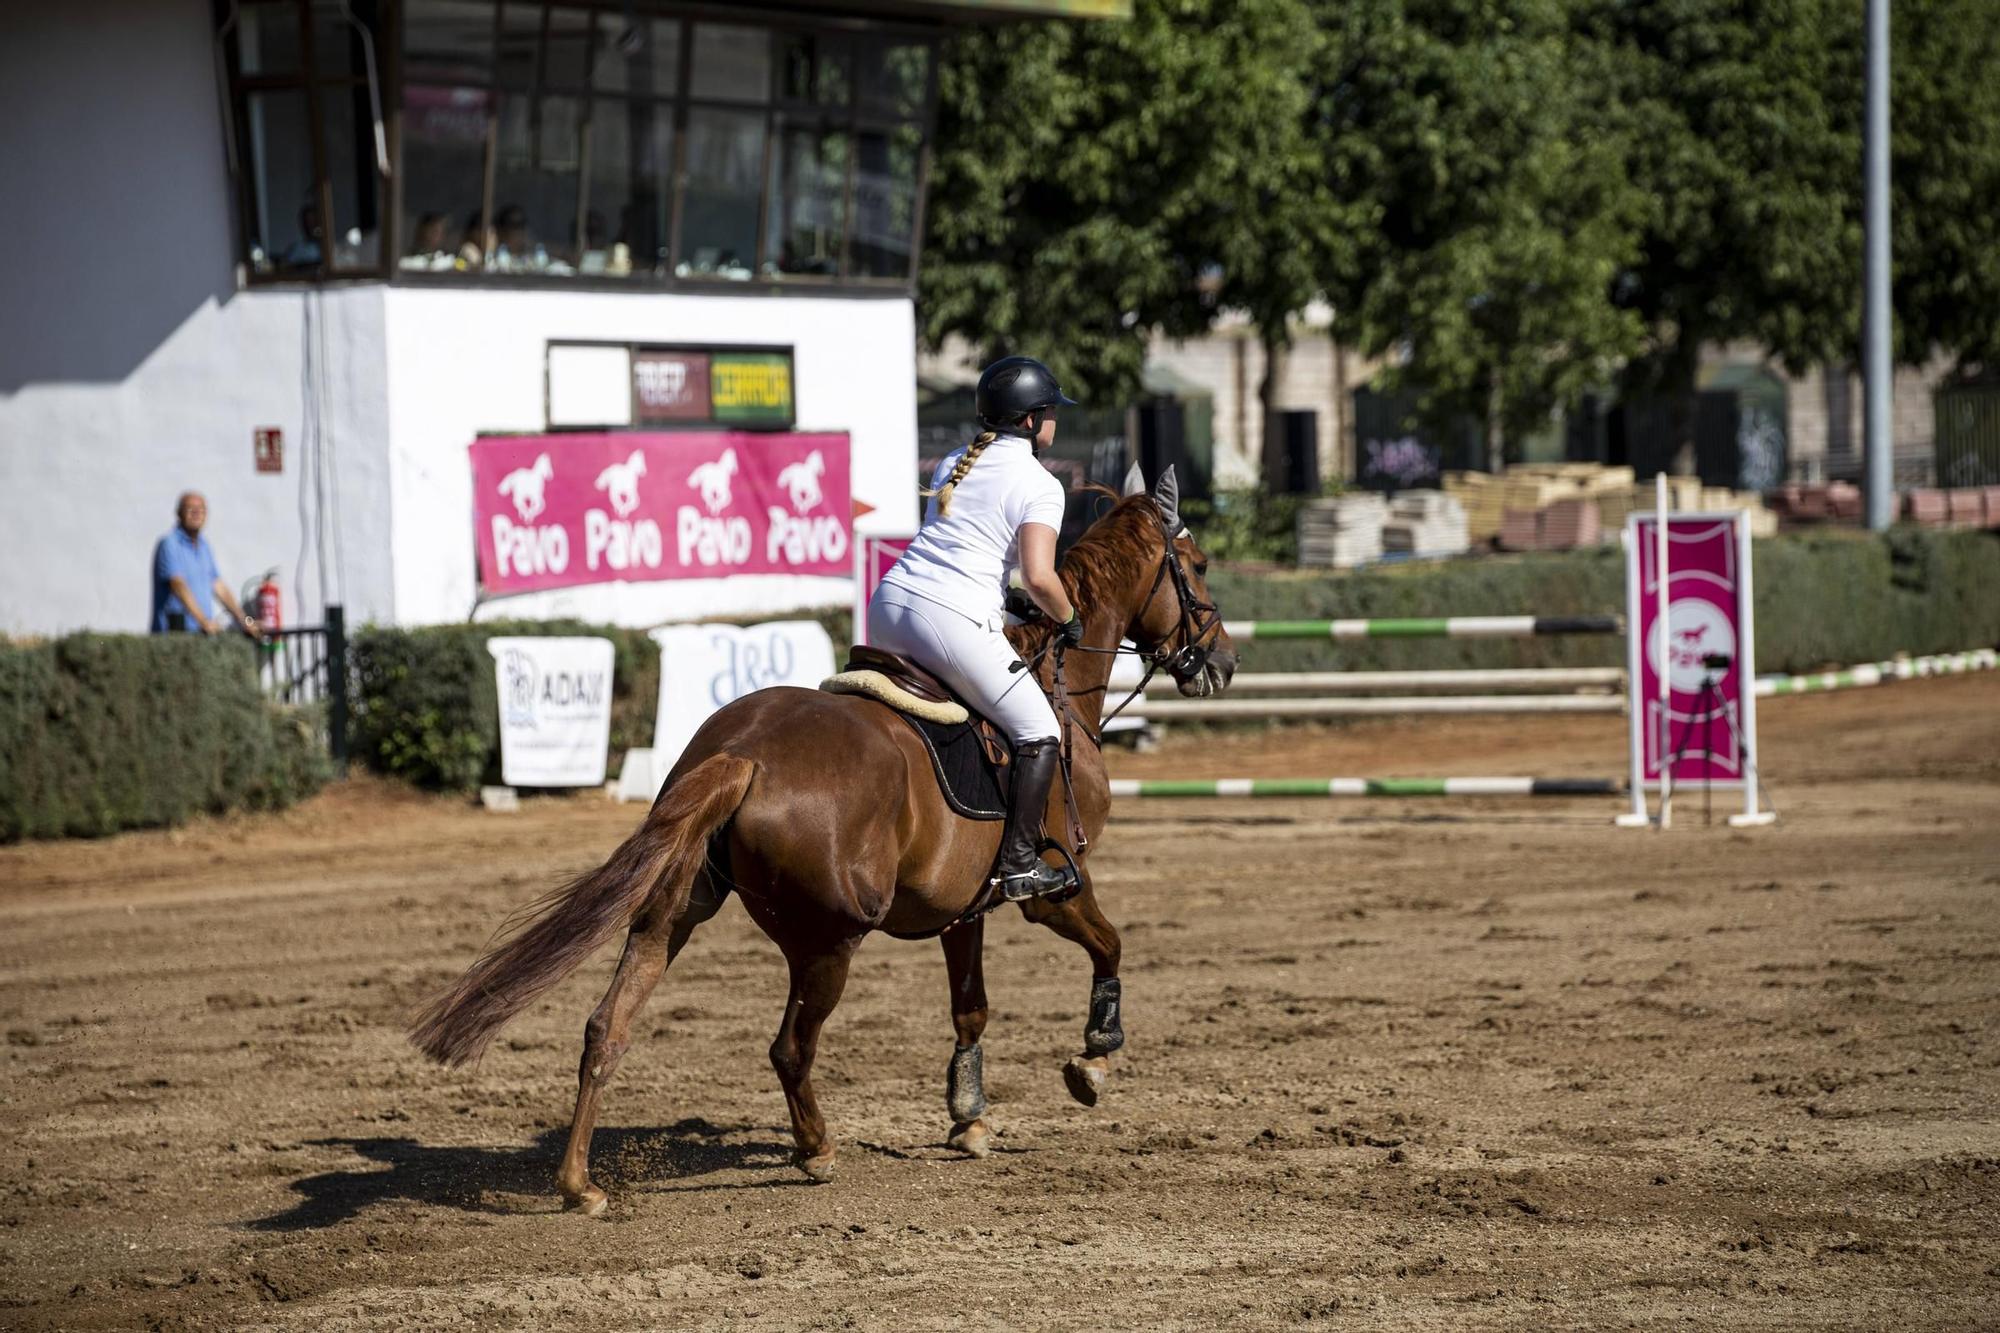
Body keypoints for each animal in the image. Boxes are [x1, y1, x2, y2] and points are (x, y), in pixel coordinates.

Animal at [410, 466, 1232, 1216]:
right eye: (1194, 565)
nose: (1223, 663)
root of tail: (743, 755)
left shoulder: (963, 907)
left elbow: (971, 1006)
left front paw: (968, 1117)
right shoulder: (1053, 891)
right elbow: (1110, 946)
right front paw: (1094, 1056)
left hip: (675, 911)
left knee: (606, 1025)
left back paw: (579, 1183)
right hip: (829, 940)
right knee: (789, 1047)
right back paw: (815, 1149)